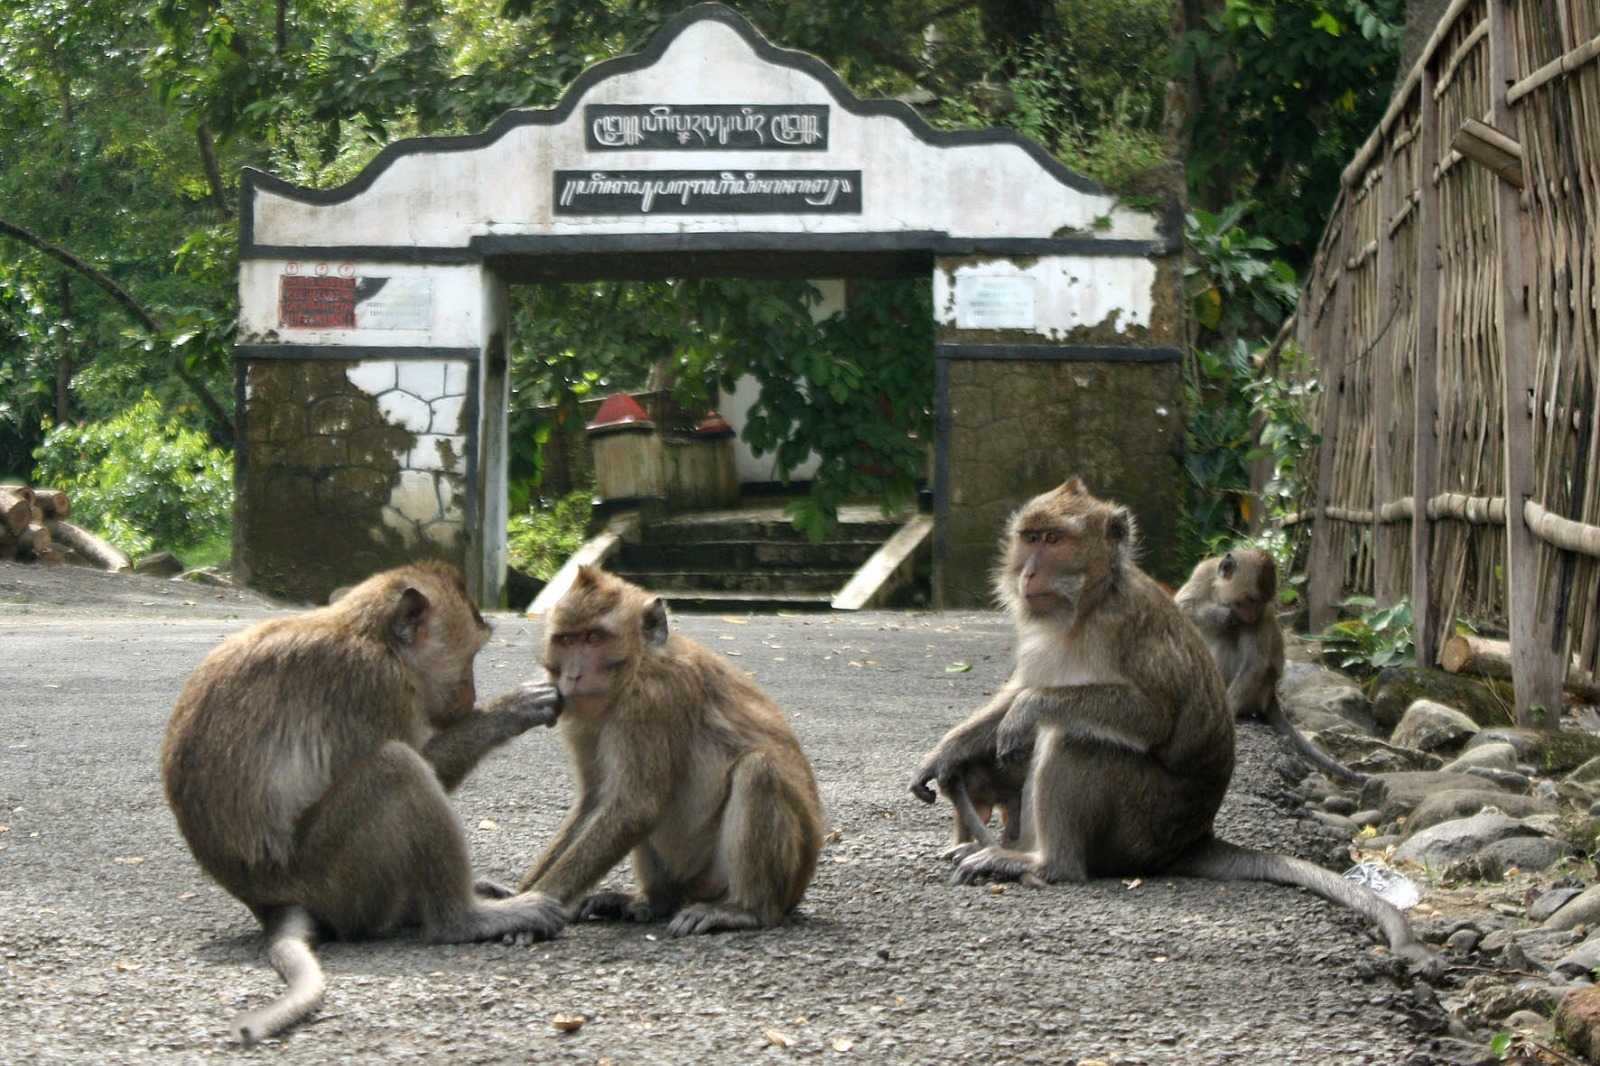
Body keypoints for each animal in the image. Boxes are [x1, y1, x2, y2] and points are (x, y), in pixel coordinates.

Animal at [160, 560, 569, 1043]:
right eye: (471, 656)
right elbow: (420, 760)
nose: (470, 694)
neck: (372, 636)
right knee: (398, 767)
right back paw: (462, 920)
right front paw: (509, 711)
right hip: (335, 879)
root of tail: (268, 903)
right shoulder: (375, 686)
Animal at [518, 563, 825, 928]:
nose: (574, 675)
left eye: (594, 638)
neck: (640, 664)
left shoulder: (651, 699)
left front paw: (536, 902)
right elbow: (596, 800)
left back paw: (745, 909)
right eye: (567, 640)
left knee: (758, 769)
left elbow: (635, 807)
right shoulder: (583, 720)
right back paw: (652, 901)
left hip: (762, 879)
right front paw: (515, 899)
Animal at [1171, 547, 1369, 781]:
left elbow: (1256, 664)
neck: (1219, 593)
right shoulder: (1203, 573)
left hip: (1258, 691)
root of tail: (1271, 693)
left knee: (1231, 642)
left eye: (1260, 602)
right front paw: (1223, 615)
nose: (1252, 615)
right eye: (1250, 599)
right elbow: (1183, 606)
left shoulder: (1261, 616)